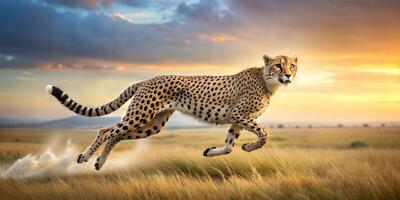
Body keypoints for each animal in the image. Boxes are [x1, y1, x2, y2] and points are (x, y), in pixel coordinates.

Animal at [46, 55, 296, 170]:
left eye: (292, 65)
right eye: (278, 65)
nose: (288, 75)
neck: (267, 81)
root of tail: (148, 79)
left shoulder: (238, 120)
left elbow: (229, 146)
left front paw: (212, 151)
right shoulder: (240, 115)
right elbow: (264, 134)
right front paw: (250, 146)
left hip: (151, 125)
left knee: (115, 134)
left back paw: (99, 162)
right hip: (140, 115)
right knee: (106, 130)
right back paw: (86, 156)